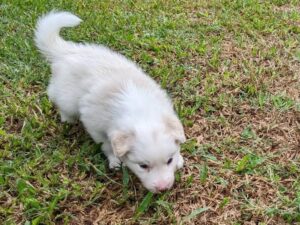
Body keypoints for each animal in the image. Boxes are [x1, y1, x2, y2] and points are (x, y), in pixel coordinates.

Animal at [34, 11, 185, 193]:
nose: (163, 188)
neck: (140, 110)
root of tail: (69, 51)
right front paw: (114, 160)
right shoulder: (95, 126)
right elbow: (106, 144)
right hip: (66, 98)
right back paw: (67, 120)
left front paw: (179, 159)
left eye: (169, 160)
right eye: (143, 166)